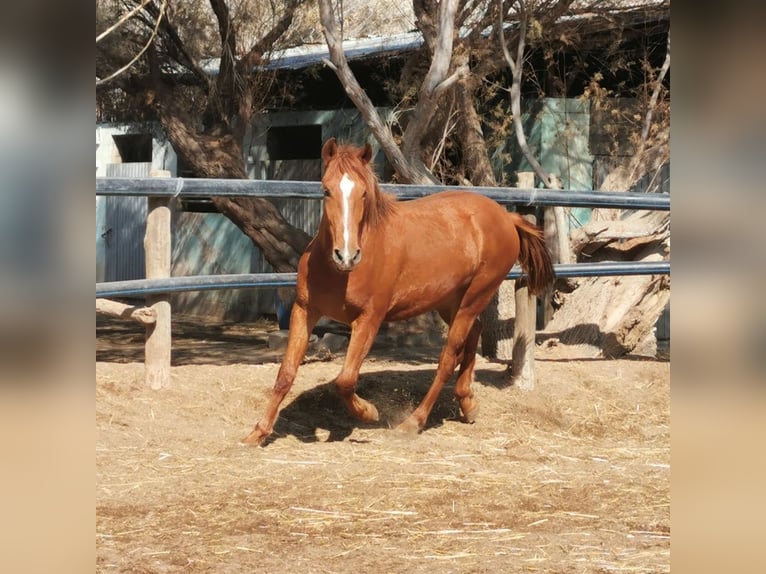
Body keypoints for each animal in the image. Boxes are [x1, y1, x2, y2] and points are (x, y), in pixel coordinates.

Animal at [243, 138, 556, 446]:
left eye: (364, 194)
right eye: (326, 190)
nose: (347, 255)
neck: (340, 273)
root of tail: (505, 216)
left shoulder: (369, 319)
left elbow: (345, 380)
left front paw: (369, 413)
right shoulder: (304, 310)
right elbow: (286, 373)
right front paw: (257, 433)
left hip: (476, 295)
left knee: (447, 358)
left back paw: (413, 422)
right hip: (449, 299)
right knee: (474, 333)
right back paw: (467, 404)